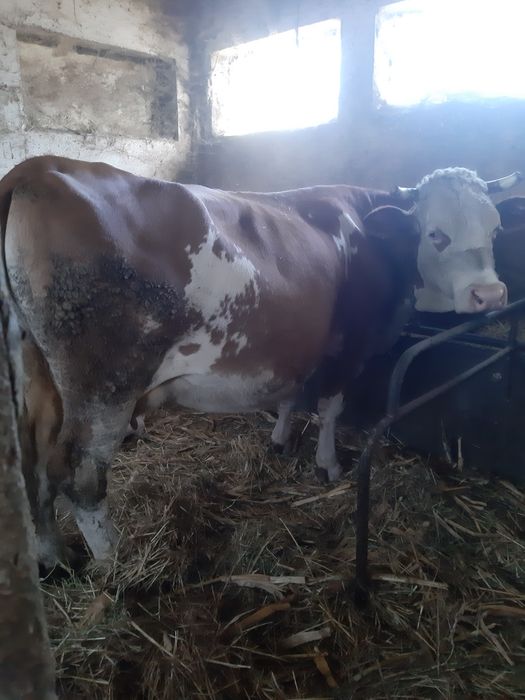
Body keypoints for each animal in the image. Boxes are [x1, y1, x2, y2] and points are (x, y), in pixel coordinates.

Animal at [0, 157, 521, 568]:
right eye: (435, 234)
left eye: (495, 229)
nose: (490, 295)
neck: (368, 231)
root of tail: (39, 166)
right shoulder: (352, 343)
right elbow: (330, 407)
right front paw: (327, 465)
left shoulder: (297, 343)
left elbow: (291, 394)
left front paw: (280, 441)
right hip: (105, 383)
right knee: (79, 474)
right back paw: (115, 562)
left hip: (36, 374)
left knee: (33, 467)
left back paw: (54, 556)